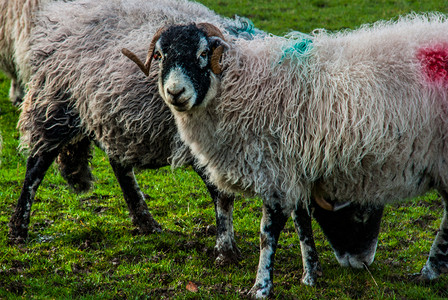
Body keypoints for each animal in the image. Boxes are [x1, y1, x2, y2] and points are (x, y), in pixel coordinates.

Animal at [12, 0, 384, 288]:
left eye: (205, 53)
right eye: (159, 55)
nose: (363, 262)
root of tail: (64, 14)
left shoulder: (282, 159)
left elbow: (298, 212)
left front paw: (310, 269)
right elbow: (222, 196)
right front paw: (226, 249)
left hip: (113, 114)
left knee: (119, 163)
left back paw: (145, 220)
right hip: (56, 104)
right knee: (37, 164)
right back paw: (18, 230)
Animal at [125, 15, 448, 298]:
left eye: (203, 53)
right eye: (160, 55)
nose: (175, 92)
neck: (242, 86)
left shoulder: (275, 172)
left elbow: (267, 234)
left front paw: (261, 288)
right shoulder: (295, 169)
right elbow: (302, 223)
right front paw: (311, 276)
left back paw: (429, 272)